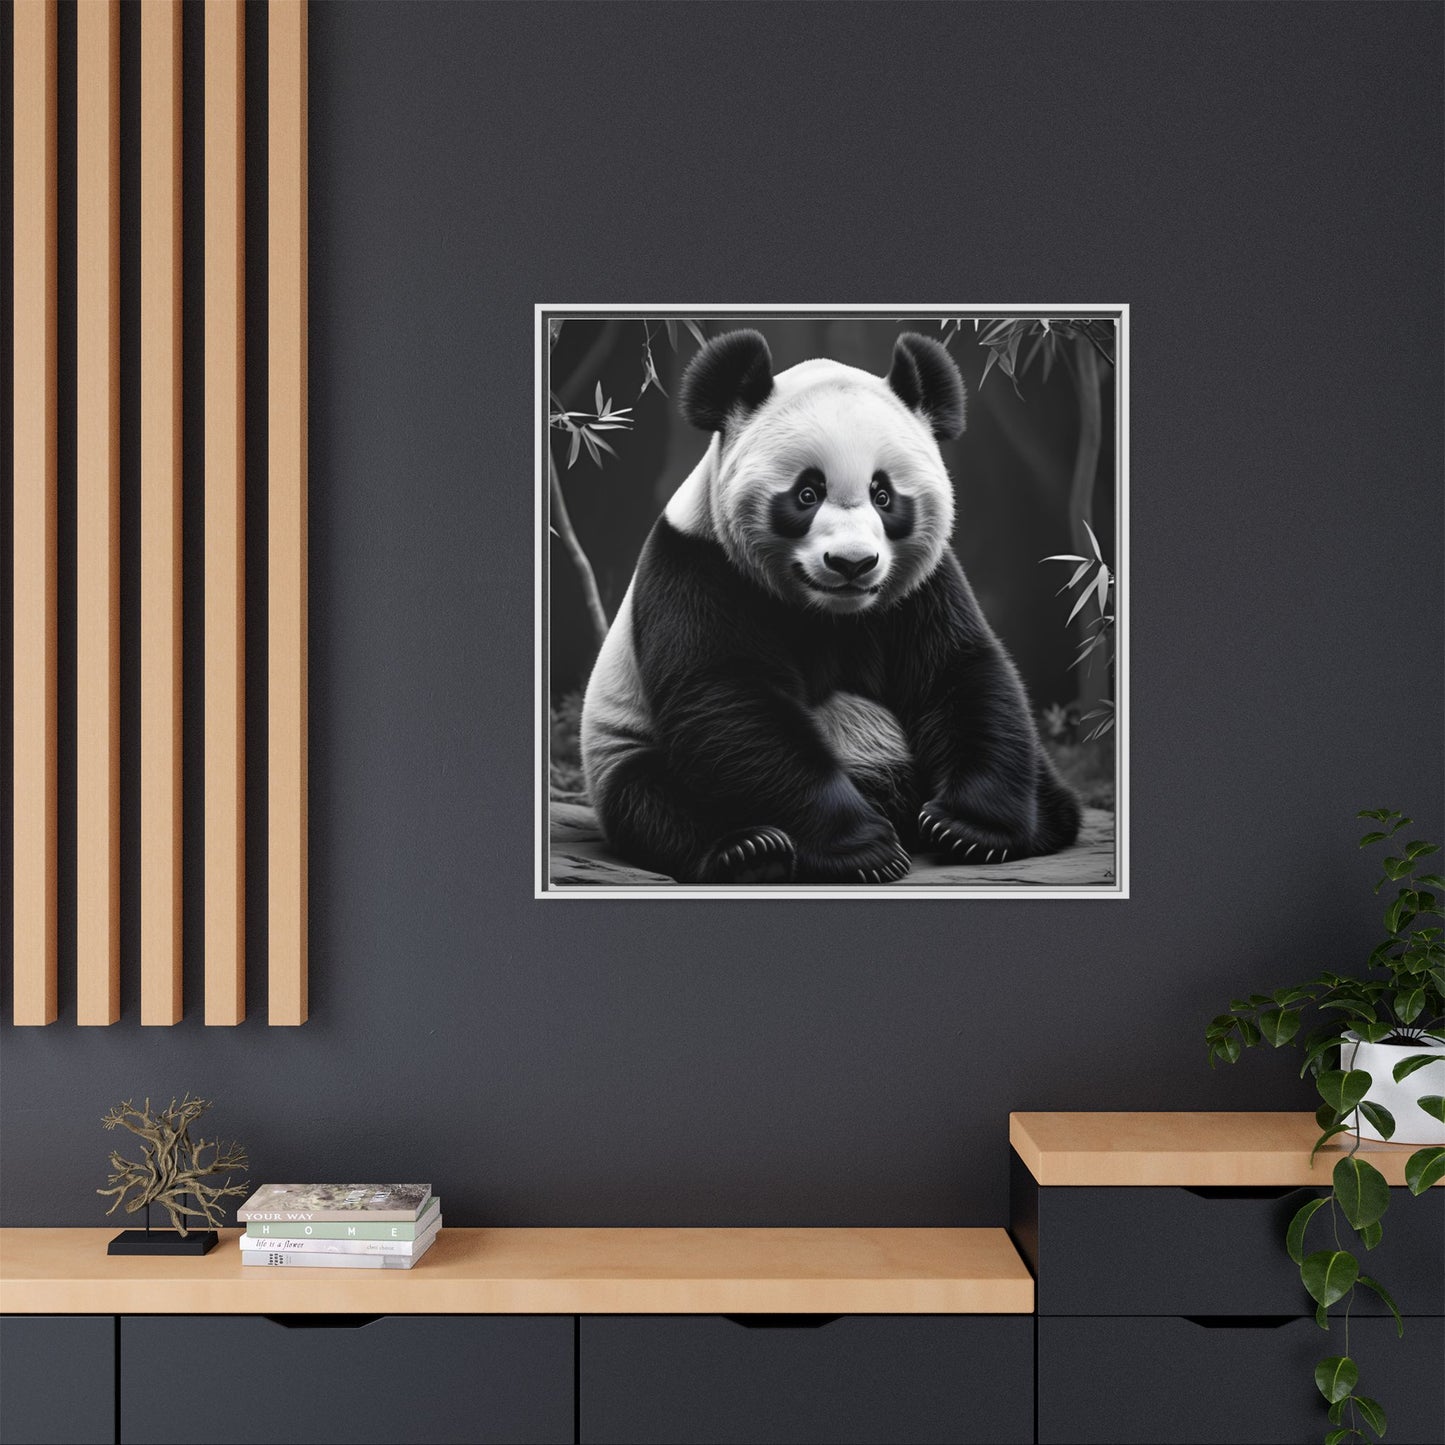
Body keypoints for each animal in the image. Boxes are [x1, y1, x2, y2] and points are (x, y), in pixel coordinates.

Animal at [579, 328, 1081, 885]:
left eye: (883, 494)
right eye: (806, 493)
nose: (852, 563)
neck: (829, 614)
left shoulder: (922, 586)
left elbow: (958, 672)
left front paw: (968, 829)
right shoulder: (698, 567)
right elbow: (729, 700)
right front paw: (864, 850)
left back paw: (1044, 819)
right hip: (621, 749)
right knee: (654, 801)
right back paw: (751, 851)